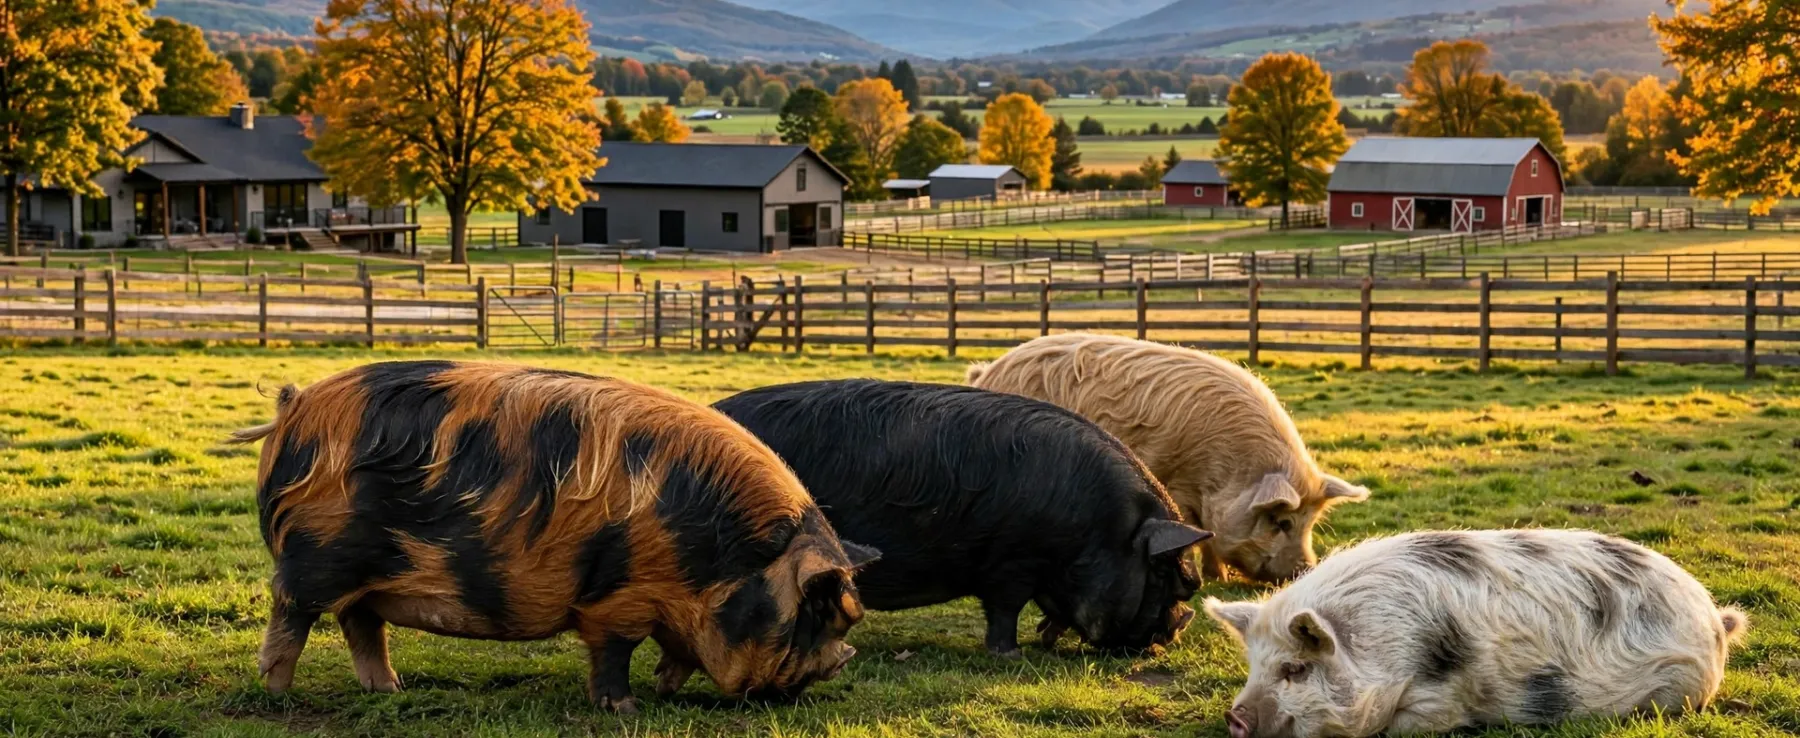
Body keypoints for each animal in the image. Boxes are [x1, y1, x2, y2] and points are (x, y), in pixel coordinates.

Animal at [229, 361, 878, 712]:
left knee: (361, 624)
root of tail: (294, 409)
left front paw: (665, 690)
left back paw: (389, 690)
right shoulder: (619, 600)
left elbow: (676, 653)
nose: (833, 669)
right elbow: (615, 651)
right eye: (813, 612)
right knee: (292, 614)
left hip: (363, 577)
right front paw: (626, 708)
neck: (718, 560)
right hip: (314, 558)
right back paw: (278, 695)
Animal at [713, 380, 1212, 657]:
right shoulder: (1012, 563)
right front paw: (1009, 656)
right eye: (1166, 575)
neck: (1100, 528)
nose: (1171, 636)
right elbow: (1005, 610)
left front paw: (1046, 637)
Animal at [966, 333, 1369, 582]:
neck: (1226, 472)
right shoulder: (1175, 480)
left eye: (1310, 523)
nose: (1306, 569)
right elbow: (1195, 531)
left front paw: (1217, 575)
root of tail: (988, 370)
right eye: (1282, 521)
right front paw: (1207, 576)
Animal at [1205, 529, 1749, 738]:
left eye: (1296, 668)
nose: (1235, 716)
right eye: (1254, 668)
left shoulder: (1444, 697)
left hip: (1682, 685)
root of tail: (1714, 617)